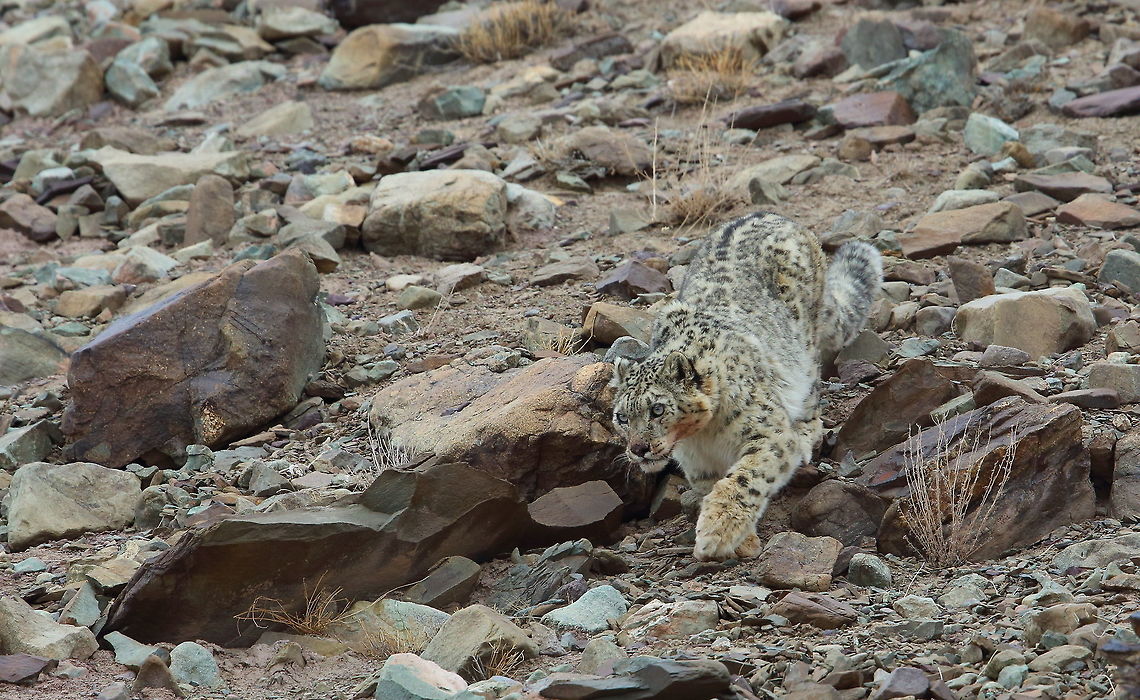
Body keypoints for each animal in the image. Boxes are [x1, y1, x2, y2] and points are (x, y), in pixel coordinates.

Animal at [610, 211, 882, 561]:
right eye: (622, 417)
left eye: (657, 409)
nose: (638, 449)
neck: (703, 436)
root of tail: (769, 214)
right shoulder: (699, 466)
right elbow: (714, 485)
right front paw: (743, 539)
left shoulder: (769, 434)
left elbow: (745, 477)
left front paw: (718, 531)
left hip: (804, 350)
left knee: (811, 391)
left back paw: (806, 431)